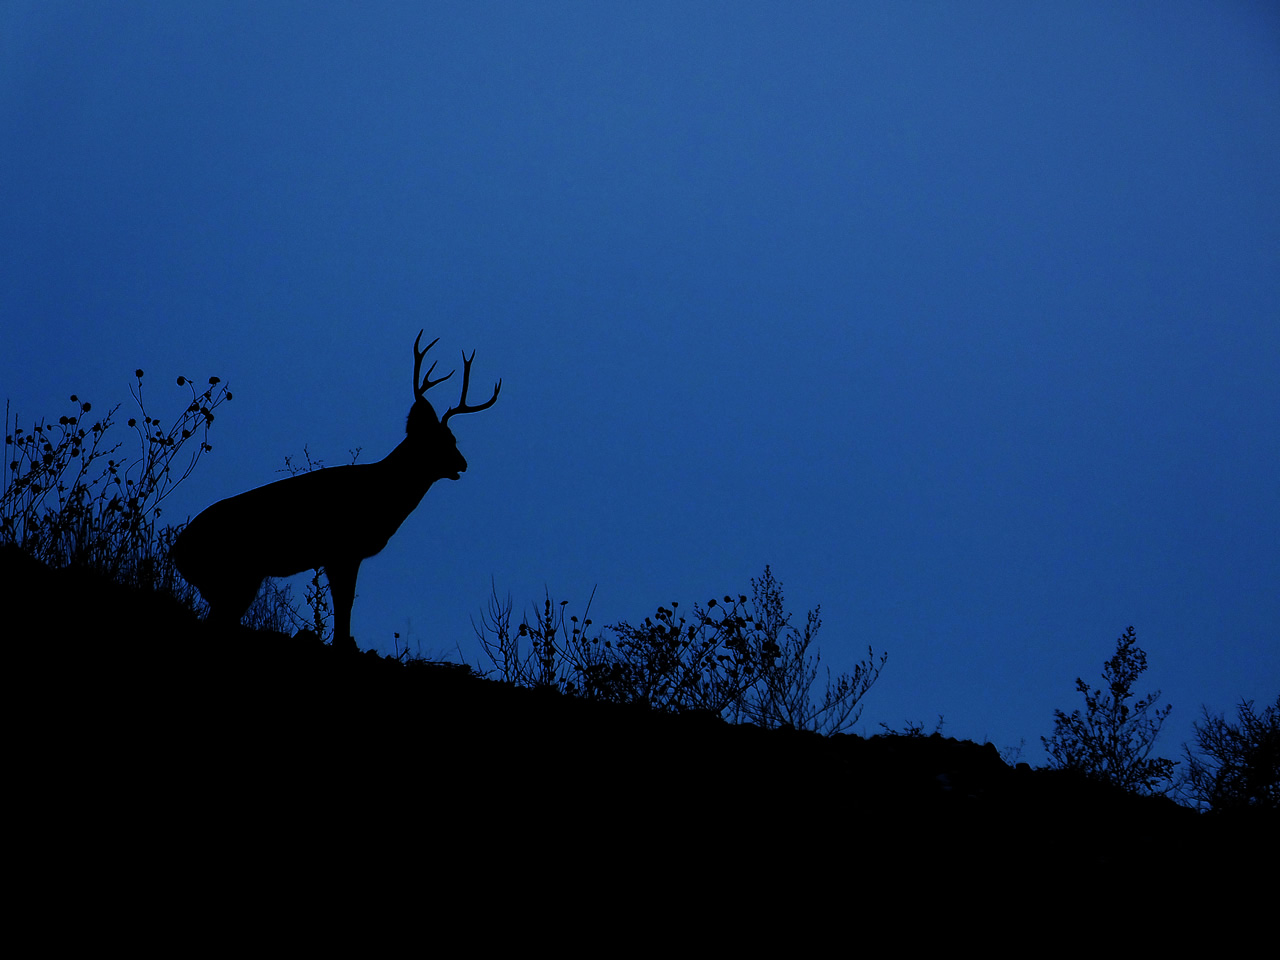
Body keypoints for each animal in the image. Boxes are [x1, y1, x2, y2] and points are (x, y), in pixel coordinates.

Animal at [171, 332, 500, 652]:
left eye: (452, 437)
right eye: (443, 440)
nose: (463, 464)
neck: (384, 492)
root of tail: (179, 551)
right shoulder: (343, 550)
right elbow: (345, 604)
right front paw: (343, 643)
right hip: (235, 578)